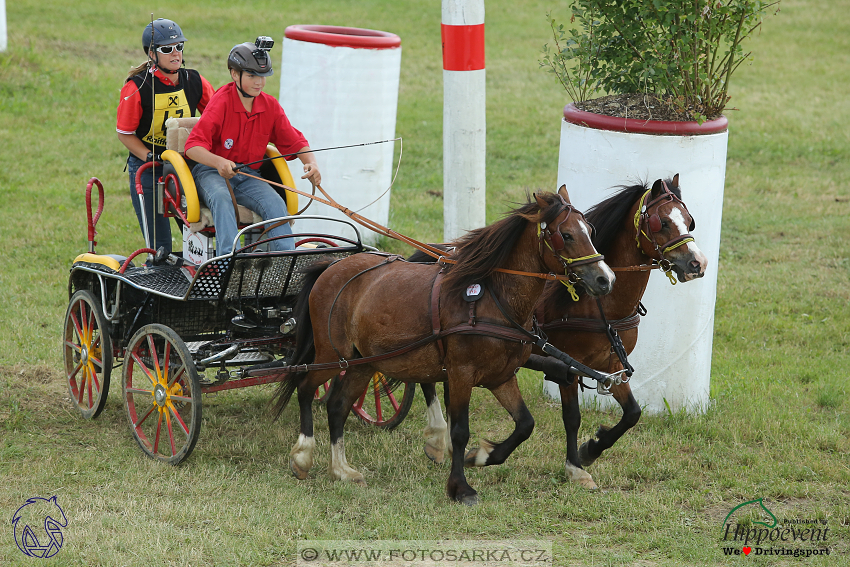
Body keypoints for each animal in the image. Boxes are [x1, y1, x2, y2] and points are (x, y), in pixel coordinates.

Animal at [274, 187, 612, 506]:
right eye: (566, 235)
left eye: (590, 230)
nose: (605, 279)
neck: (491, 299)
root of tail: (331, 266)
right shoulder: (461, 373)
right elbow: (460, 430)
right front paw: (460, 487)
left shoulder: (501, 377)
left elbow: (525, 424)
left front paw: (482, 456)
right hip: (333, 355)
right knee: (305, 388)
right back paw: (303, 454)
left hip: (364, 363)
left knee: (337, 406)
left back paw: (341, 469)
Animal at [416, 176, 704, 488]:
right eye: (661, 222)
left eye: (689, 221)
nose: (698, 263)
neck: (600, 305)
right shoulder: (570, 366)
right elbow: (572, 417)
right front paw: (575, 467)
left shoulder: (612, 365)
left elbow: (632, 413)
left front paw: (592, 449)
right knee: (426, 379)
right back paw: (436, 437)